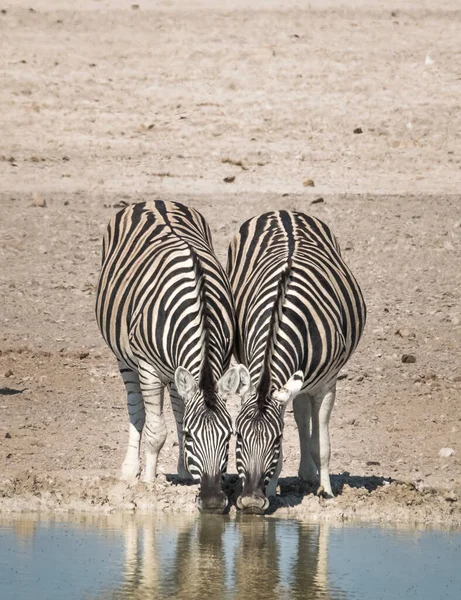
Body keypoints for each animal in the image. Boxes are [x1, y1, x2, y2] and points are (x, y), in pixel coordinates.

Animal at [95, 199, 235, 512]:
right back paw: (130, 470)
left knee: (178, 406)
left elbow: (182, 416)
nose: (212, 502)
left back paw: (181, 471)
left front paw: (188, 472)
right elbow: (156, 430)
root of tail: (155, 201)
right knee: (137, 410)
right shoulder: (147, 367)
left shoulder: (219, 363)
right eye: (192, 437)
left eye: (229, 436)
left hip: (175, 370)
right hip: (126, 360)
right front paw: (148, 483)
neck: (199, 308)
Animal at [221, 211, 364, 510]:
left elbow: (322, 444)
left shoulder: (327, 386)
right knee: (299, 410)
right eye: (238, 435)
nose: (251, 502)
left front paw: (326, 491)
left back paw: (311, 475)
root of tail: (284, 212)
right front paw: (272, 489)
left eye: (275, 440)